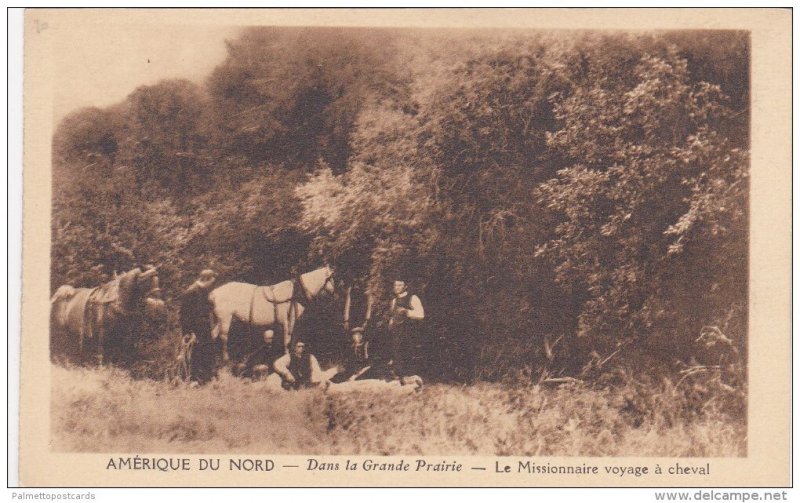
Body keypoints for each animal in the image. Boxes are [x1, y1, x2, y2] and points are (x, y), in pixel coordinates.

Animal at [208, 266, 336, 364]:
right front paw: (287, 357)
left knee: (214, 334)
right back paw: (226, 360)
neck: (295, 294)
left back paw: (214, 358)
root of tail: (214, 293)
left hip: (220, 319)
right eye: (331, 279)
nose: (335, 295)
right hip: (226, 318)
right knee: (223, 337)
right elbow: (287, 340)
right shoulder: (287, 321)